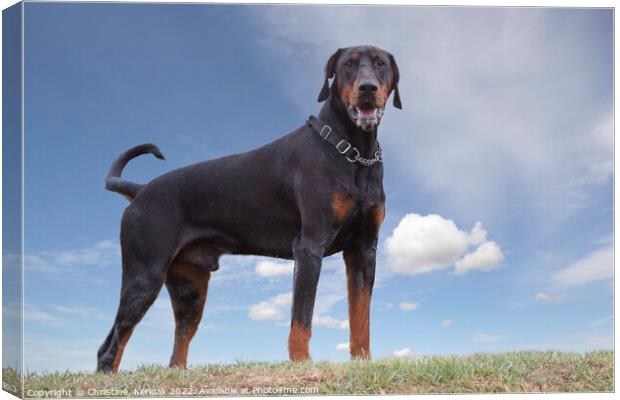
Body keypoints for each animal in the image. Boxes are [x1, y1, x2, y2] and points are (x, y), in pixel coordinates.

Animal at [94, 45, 400, 374]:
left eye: (380, 63)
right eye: (348, 65)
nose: (367, 88)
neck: (353, 152)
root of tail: (140, 190)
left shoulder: (363, 250)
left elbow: (361, 316)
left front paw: (363, 362)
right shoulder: (309, 246)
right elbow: (302, 318)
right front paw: (302, 364)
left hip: (190, 286)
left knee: (179, 342)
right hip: (145, 275)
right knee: (110, 345)